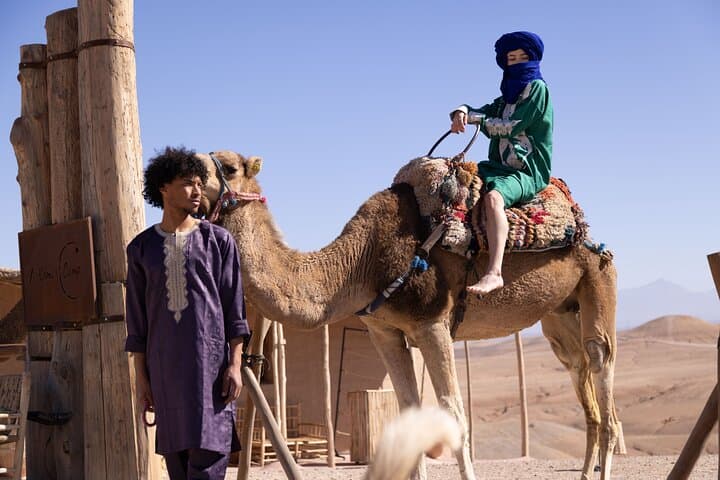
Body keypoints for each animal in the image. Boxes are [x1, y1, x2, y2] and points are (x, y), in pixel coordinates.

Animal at [197, 150, 622, 480]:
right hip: (559, 315)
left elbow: (455, 417)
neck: (361, 262)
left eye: (229, 167)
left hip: (598, 278)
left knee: (600, 363)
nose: (190, 167)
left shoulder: (432, 323)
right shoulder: (383, 330)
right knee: (579, 370)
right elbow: (410, 416)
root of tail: (586, 230)